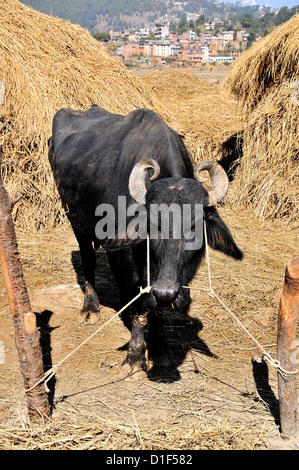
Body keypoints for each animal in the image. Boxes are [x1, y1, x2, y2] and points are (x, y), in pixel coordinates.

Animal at [48, 105, 243, 378]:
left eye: (195, 227)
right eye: (152, 225)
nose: (166, 293)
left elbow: (155, 309)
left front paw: (159, 349)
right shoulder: (123, 258)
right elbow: (141, 307)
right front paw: (136, 357)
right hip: (74, 218)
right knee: (87, 258)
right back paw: (90, 308)